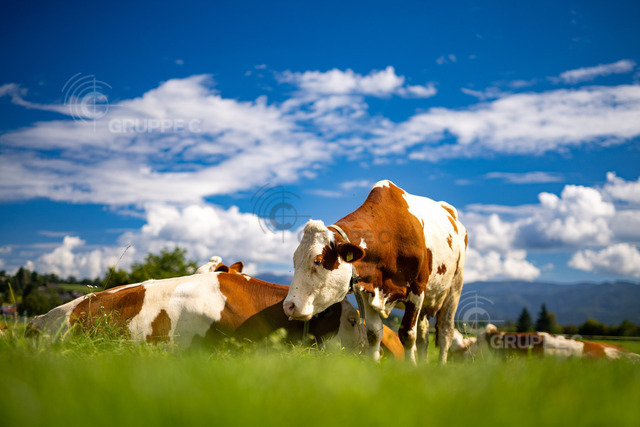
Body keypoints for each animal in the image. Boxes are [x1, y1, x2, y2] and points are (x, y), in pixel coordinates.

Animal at [284, 180, 467, 363]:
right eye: (294, 262)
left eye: (318, 260)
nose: (289, 306)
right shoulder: (366, 288)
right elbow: (374, 333)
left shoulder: (417, 289)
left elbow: (407, 335)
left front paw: (411, 366)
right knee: (423, 334)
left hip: (454, 288)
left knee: (444, 332)